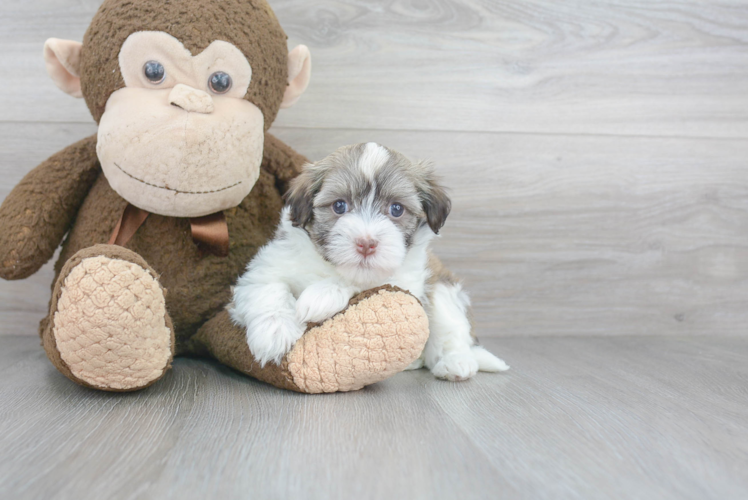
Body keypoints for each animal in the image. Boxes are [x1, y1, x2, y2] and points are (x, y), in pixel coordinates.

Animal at [228, 143, 508, 380]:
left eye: (396, 209)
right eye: (339, 206)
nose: (366, 243)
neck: (331, 267)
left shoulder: (406, 280)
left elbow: (365, 283)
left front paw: (320, 297)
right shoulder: (269, 264)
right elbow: (266, 287)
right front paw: (274, 333)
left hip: (443, 291)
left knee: (451, 330)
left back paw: (456, 363)